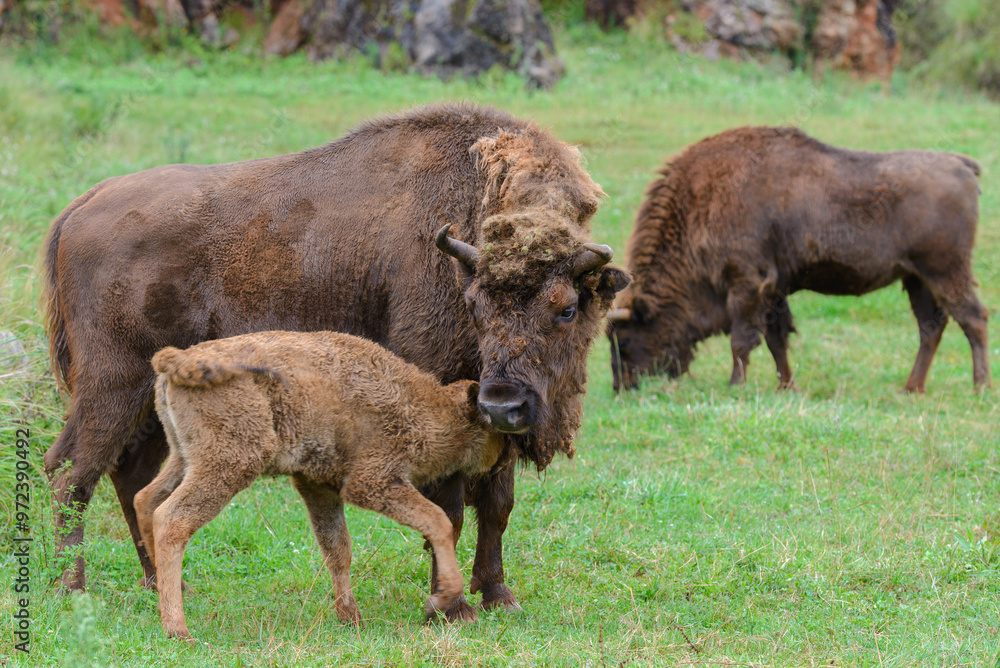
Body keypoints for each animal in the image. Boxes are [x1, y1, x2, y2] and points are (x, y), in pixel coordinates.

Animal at [43, 103, 630, 619]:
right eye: (473, 305)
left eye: (567, 307)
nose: (505, 405)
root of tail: (81, 206)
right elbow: (450, 507)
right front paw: (452, 604)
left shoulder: (491, 417)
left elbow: (496, 505)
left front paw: (498, 595)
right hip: (111, 384)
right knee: (72, 471)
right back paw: (71, 589)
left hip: (154, 401)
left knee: (131, 476)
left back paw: (161, 583)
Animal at [608, 126, 989, 393]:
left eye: (624, 340)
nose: (621, 387)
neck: (704, 199)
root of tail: (961, 164)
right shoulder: (774, 291)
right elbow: (777, 338)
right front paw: (786, 386)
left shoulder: (746, 284)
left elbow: (742, 340)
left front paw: (735, 385)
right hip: (917, 278)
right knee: (931, 327)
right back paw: (913, 388)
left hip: (945, 271)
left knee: (972, 318)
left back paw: (980, 386)